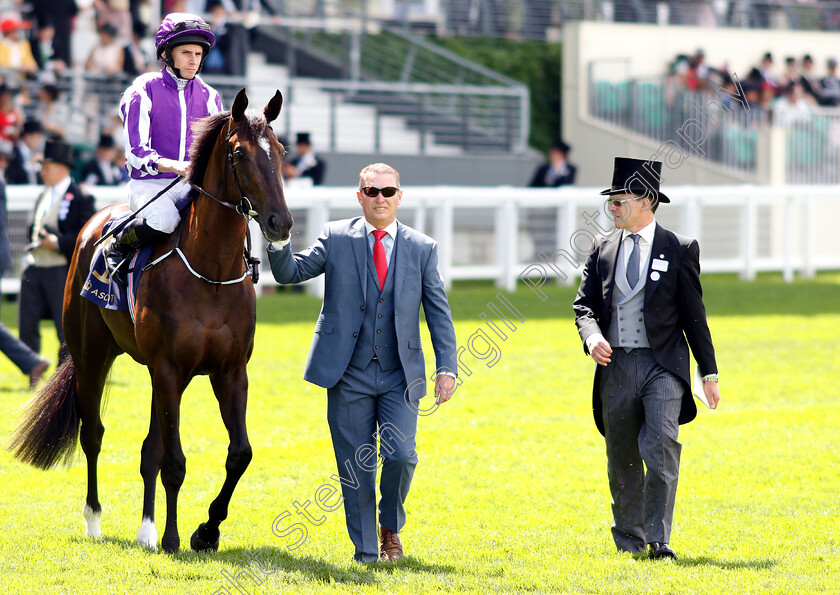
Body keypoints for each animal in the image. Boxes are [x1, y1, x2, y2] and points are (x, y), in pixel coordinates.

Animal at [8, 87, 292, 556]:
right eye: (239, 154)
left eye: (281, 152)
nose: (281, 222)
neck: (211, 272)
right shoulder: (170, 367)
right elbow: (174, 461)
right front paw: (175, 536)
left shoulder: (230, 371)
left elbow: (239, 454)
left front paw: (206, 531)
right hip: (93, 358)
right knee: (93, 433)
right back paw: (95, 520)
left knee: (148, 449)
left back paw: (145, 530)